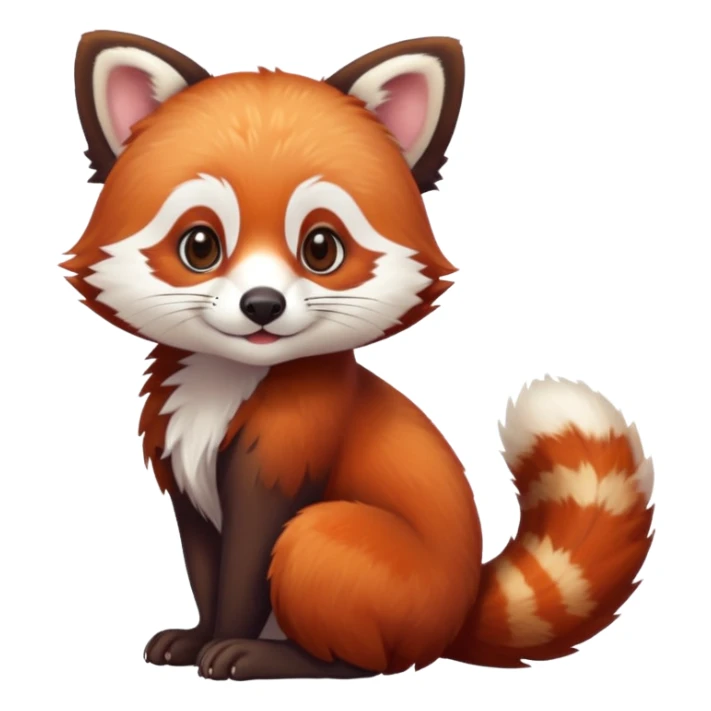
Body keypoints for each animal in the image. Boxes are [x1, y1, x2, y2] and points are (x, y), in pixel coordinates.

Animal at [66, 30, 654, 681]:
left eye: (321, 248)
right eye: (200, 245)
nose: (262, 304)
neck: (225, 385)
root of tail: (457, 610)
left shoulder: (287, 449)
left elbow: (244, 571)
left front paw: (224, 642)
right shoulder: (183, 464)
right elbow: (204, 570)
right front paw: (195, 637)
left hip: (343, 552)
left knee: (364, 645)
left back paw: (282, 658)